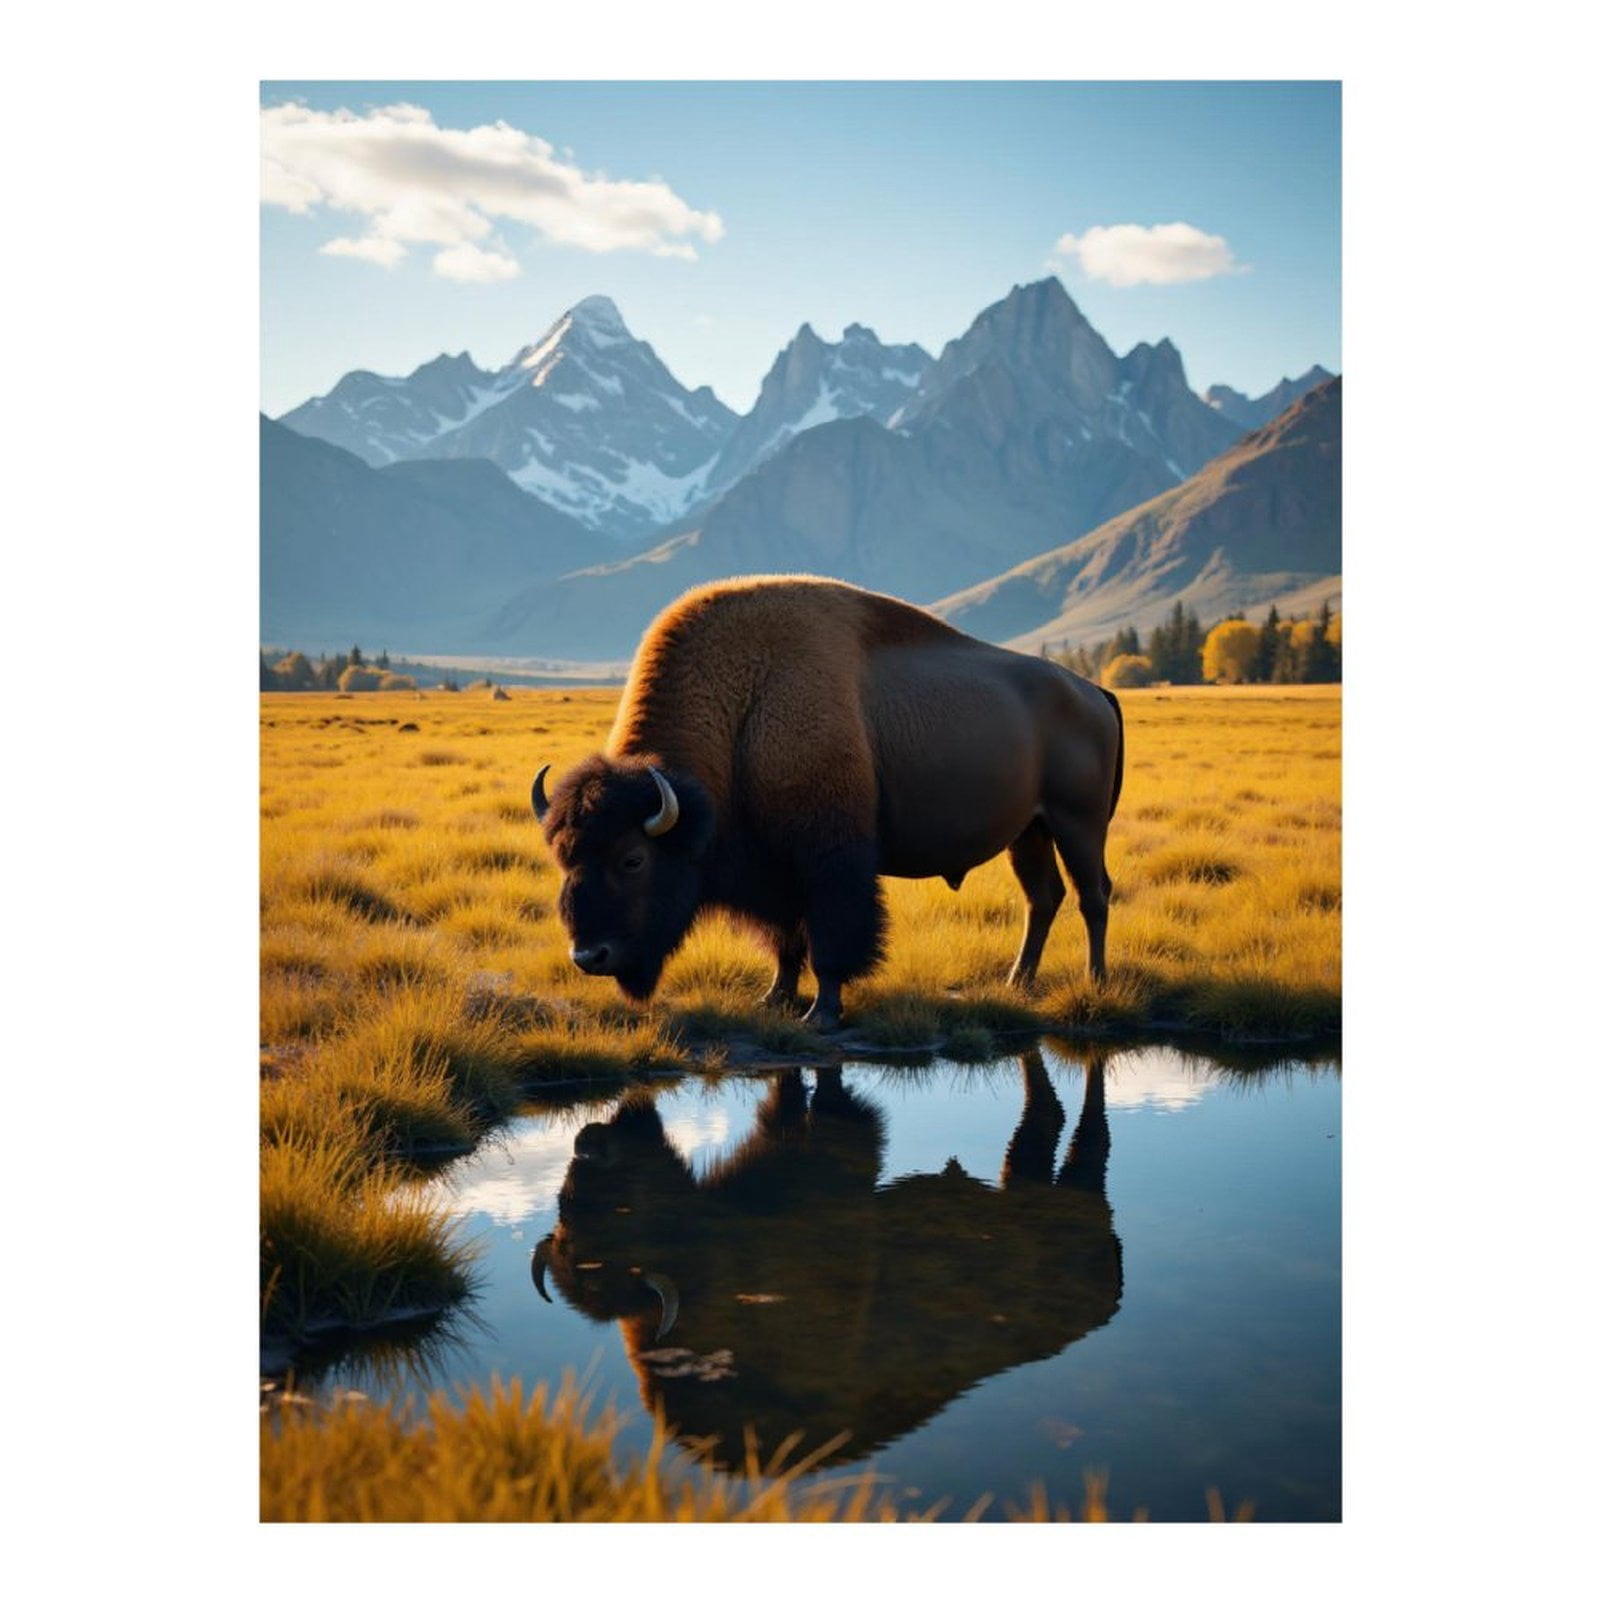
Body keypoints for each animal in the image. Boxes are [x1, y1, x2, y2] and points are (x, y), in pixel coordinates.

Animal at [532, 576, 1124, 1028]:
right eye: (564, 858)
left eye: (632, 859)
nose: (589, 956)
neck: (742, 711)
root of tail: (1093, 692)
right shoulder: (774, 871)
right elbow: (786, 941)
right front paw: (773, 997)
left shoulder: (829, 859)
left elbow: (829, 939)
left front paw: (821, 1013)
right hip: (1029, 833)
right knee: (1042, 898)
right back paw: (1017, 982)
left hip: (1079, 824)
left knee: (1092, 897)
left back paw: (1095, 981)